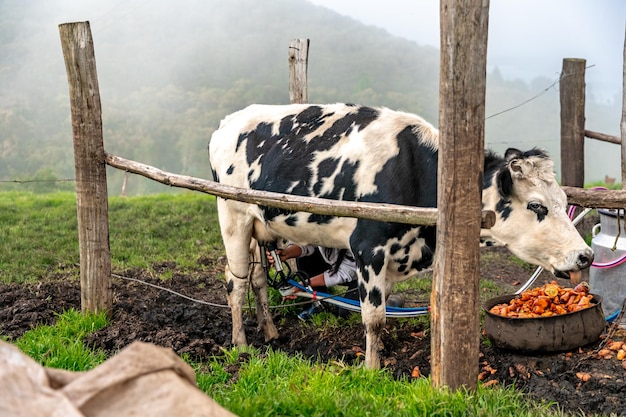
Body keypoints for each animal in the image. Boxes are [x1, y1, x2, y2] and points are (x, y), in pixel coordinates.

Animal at [207, 103, 592, 368]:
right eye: (537, 205)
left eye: (564, 201)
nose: (585, 255)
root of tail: (227, 122)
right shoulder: (368, 249)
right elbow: (374, 317)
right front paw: (371, 368)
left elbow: (382, 310)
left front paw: (381, 352)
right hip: (232, 216)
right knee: (235, 281)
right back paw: (241, 344)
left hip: (259, 224)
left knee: (258, 277)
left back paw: (270, 332)